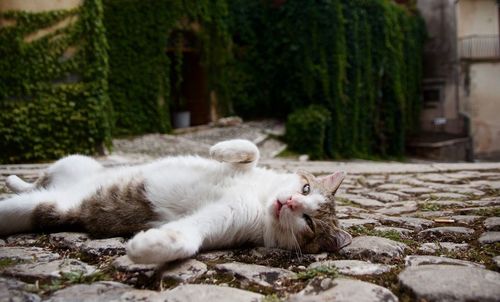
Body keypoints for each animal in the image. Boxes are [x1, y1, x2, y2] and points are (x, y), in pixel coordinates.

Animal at [0, 139, 352, 264]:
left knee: (34, 196)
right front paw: (221, 148)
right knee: (38, 179)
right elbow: (251, 150)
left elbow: (188, 236)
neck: (260, 195)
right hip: (72, 163)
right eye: (305, 188)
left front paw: (151, 245)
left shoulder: (226, 219)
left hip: (43, 208)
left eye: (309, 222)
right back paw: (15, 179)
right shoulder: (246, 170)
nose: (290, 202)